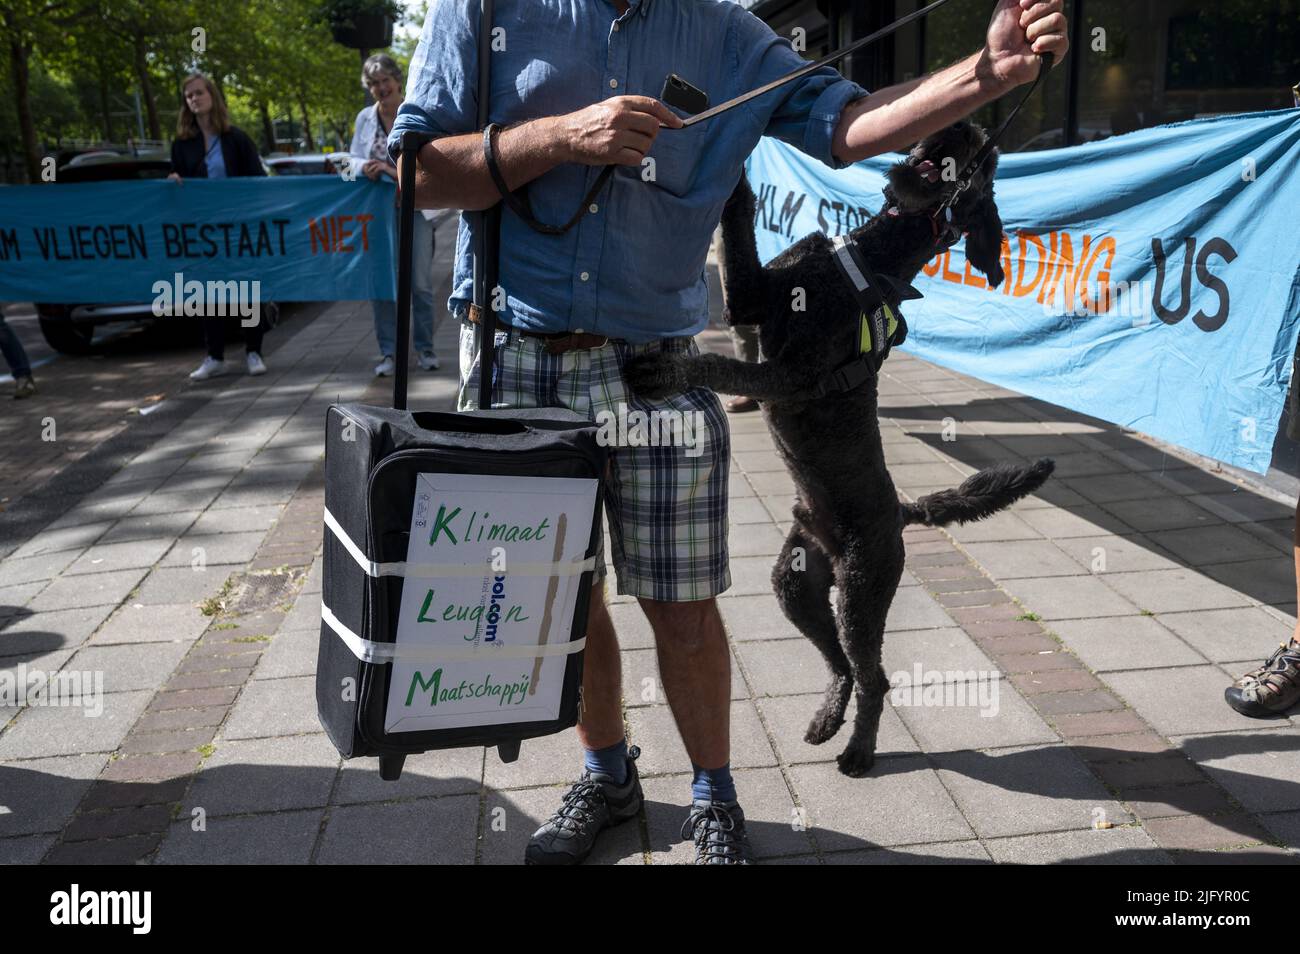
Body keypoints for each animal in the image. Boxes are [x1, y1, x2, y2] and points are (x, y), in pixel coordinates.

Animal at [629, 121, 1055, 779]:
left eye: (985, 168)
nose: (968, 126)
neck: (872, 256)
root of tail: (901, 513)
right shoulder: (752, 296)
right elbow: (739, 211)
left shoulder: (787, 372)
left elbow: (719, 364)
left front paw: (663, 372)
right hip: (795, 583)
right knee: (839, 664)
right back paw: (828, 718)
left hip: (861, 591)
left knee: (872, 676)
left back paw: (858, 750)